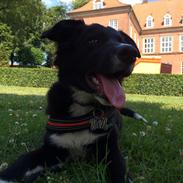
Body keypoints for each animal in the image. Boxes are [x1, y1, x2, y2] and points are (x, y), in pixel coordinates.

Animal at [0, 20, 141, 183]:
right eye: (93, 41)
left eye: (121, 41)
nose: (130, 52)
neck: (83, 108)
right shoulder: (52, 148)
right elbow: (24, 159)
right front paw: (6, 176)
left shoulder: (110, 149)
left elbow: (120, 172)